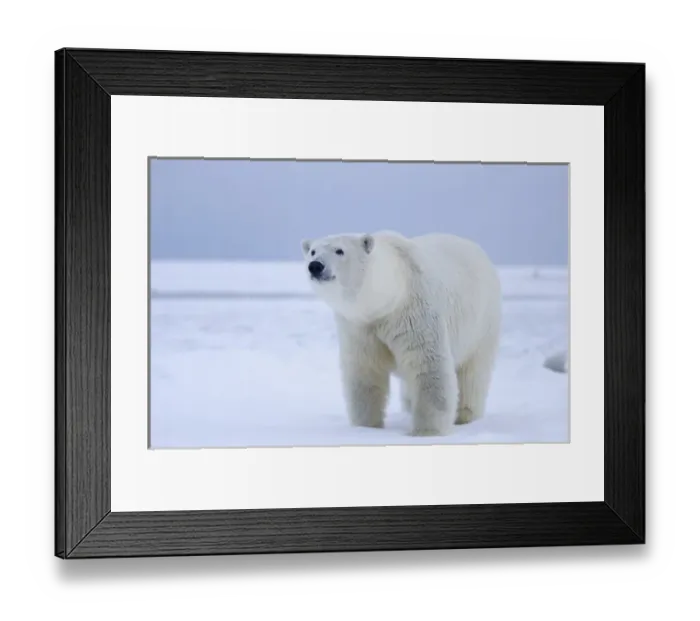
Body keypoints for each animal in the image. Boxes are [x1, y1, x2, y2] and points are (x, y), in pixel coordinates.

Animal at [301, 230, 502, 437]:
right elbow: (365, 372)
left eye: (339, 250)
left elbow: (427, 365)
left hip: (482, 322)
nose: (315, 266)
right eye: (313, 251)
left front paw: (426, 431)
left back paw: (466, 415)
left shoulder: (414, 314)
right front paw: (366, 427)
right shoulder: (359, 327)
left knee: (472, 373)